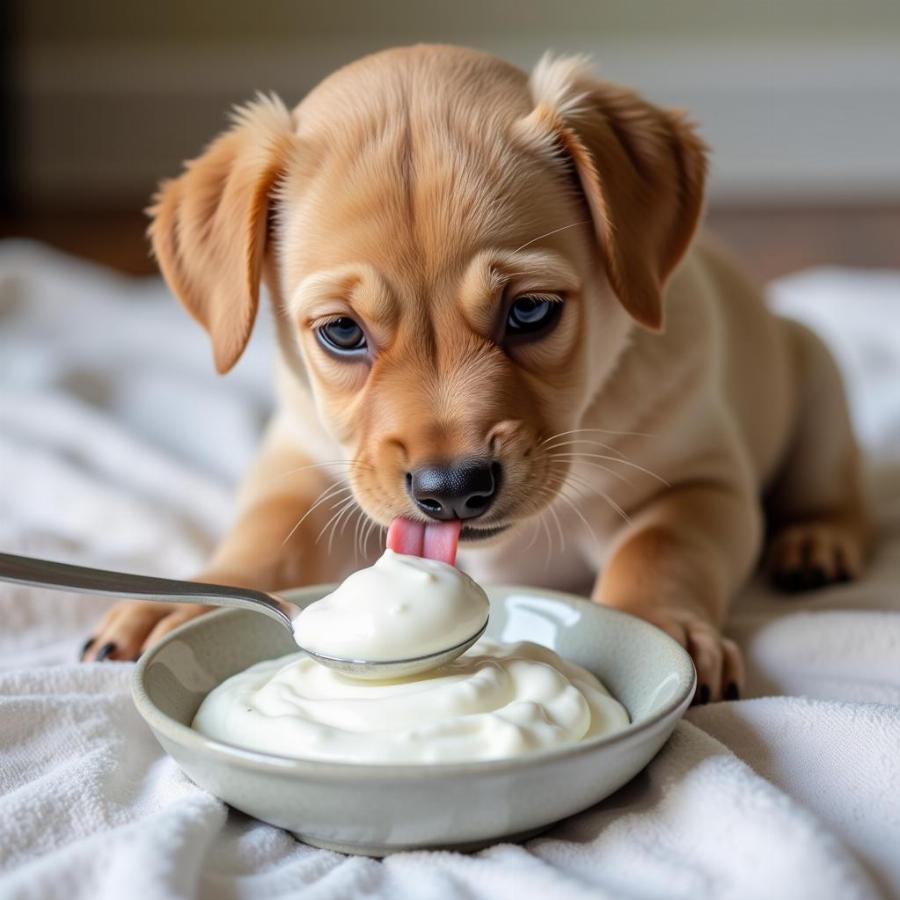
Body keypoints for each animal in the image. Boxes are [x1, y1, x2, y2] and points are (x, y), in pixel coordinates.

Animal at [82, 44, 864, 704]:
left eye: (531, 312)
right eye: (342, 333)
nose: (453, 489)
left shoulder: (699, 482)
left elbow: (661, 550)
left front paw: (654, 631)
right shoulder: (297, 468)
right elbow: (263, 540)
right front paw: (188, 599)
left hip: (819, 377)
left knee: (832, 490)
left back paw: (816, 542)